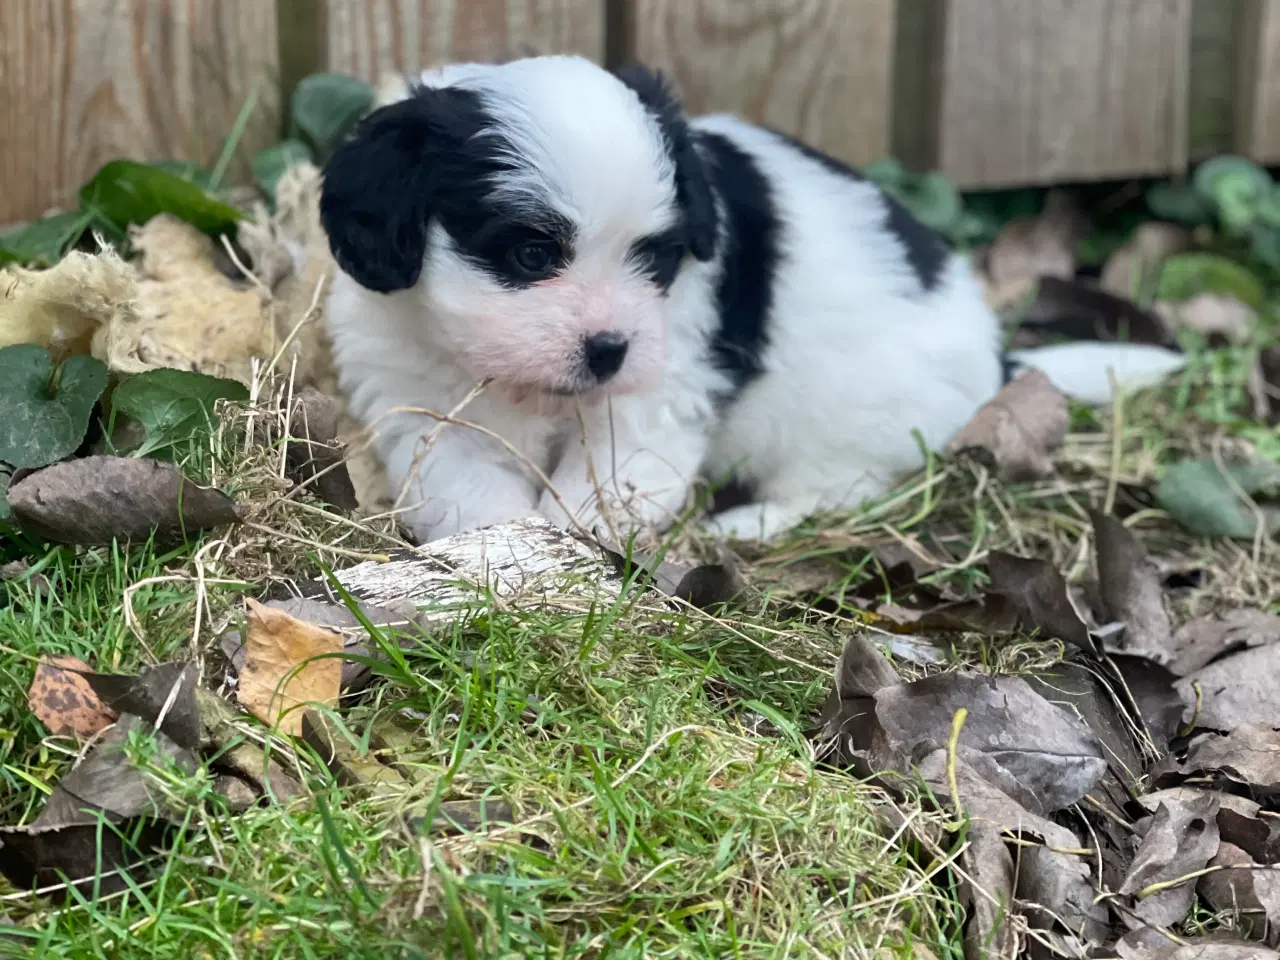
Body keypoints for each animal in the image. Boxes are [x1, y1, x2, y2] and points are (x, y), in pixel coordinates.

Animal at [317, 56, 1177, 545]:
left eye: (655, 259)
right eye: (532, 254)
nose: (609, 349)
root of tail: (1000, 360)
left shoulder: (664, 380)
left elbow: (618, 468)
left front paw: (581, 545)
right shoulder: (420, 392)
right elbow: (463, 480)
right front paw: (493, 557)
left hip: (851, 420)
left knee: (842, 485)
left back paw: (749, 524)